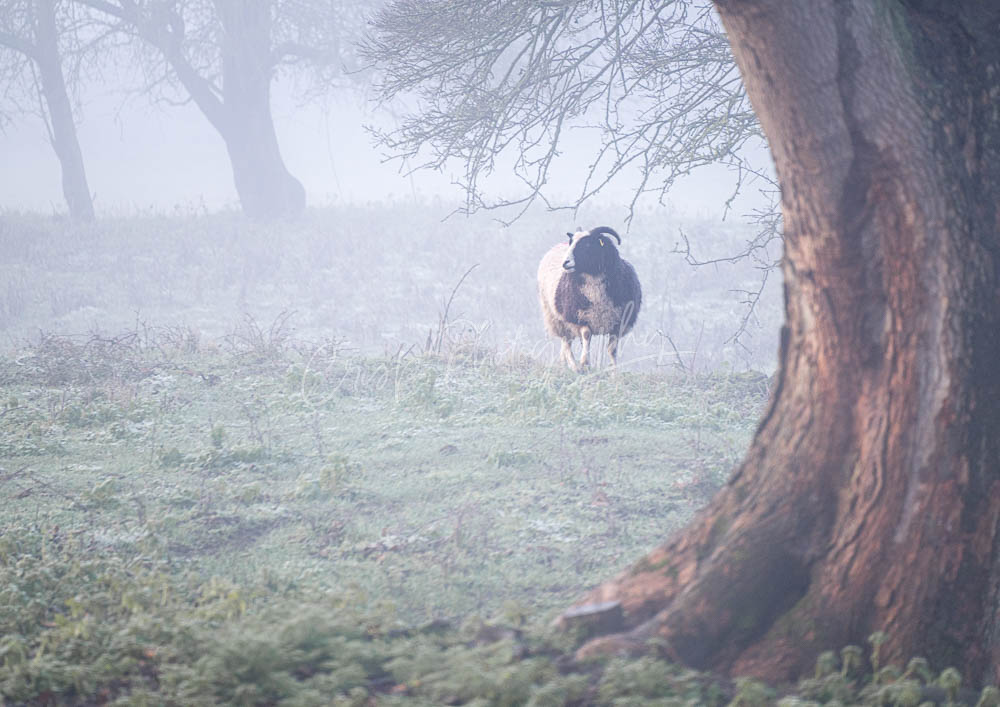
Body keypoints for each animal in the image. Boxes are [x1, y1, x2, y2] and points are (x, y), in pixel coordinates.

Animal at [537, 226, 641, 371]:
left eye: (587, 244)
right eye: (571, 242)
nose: (565, 263)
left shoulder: (618, 322)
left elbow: (612, 350)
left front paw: (614, 372)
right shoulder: (580, 318)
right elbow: (586, 337)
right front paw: (584, 363)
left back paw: (564, 364)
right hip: (556, 318)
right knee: (566, 342)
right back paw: (574, 366)